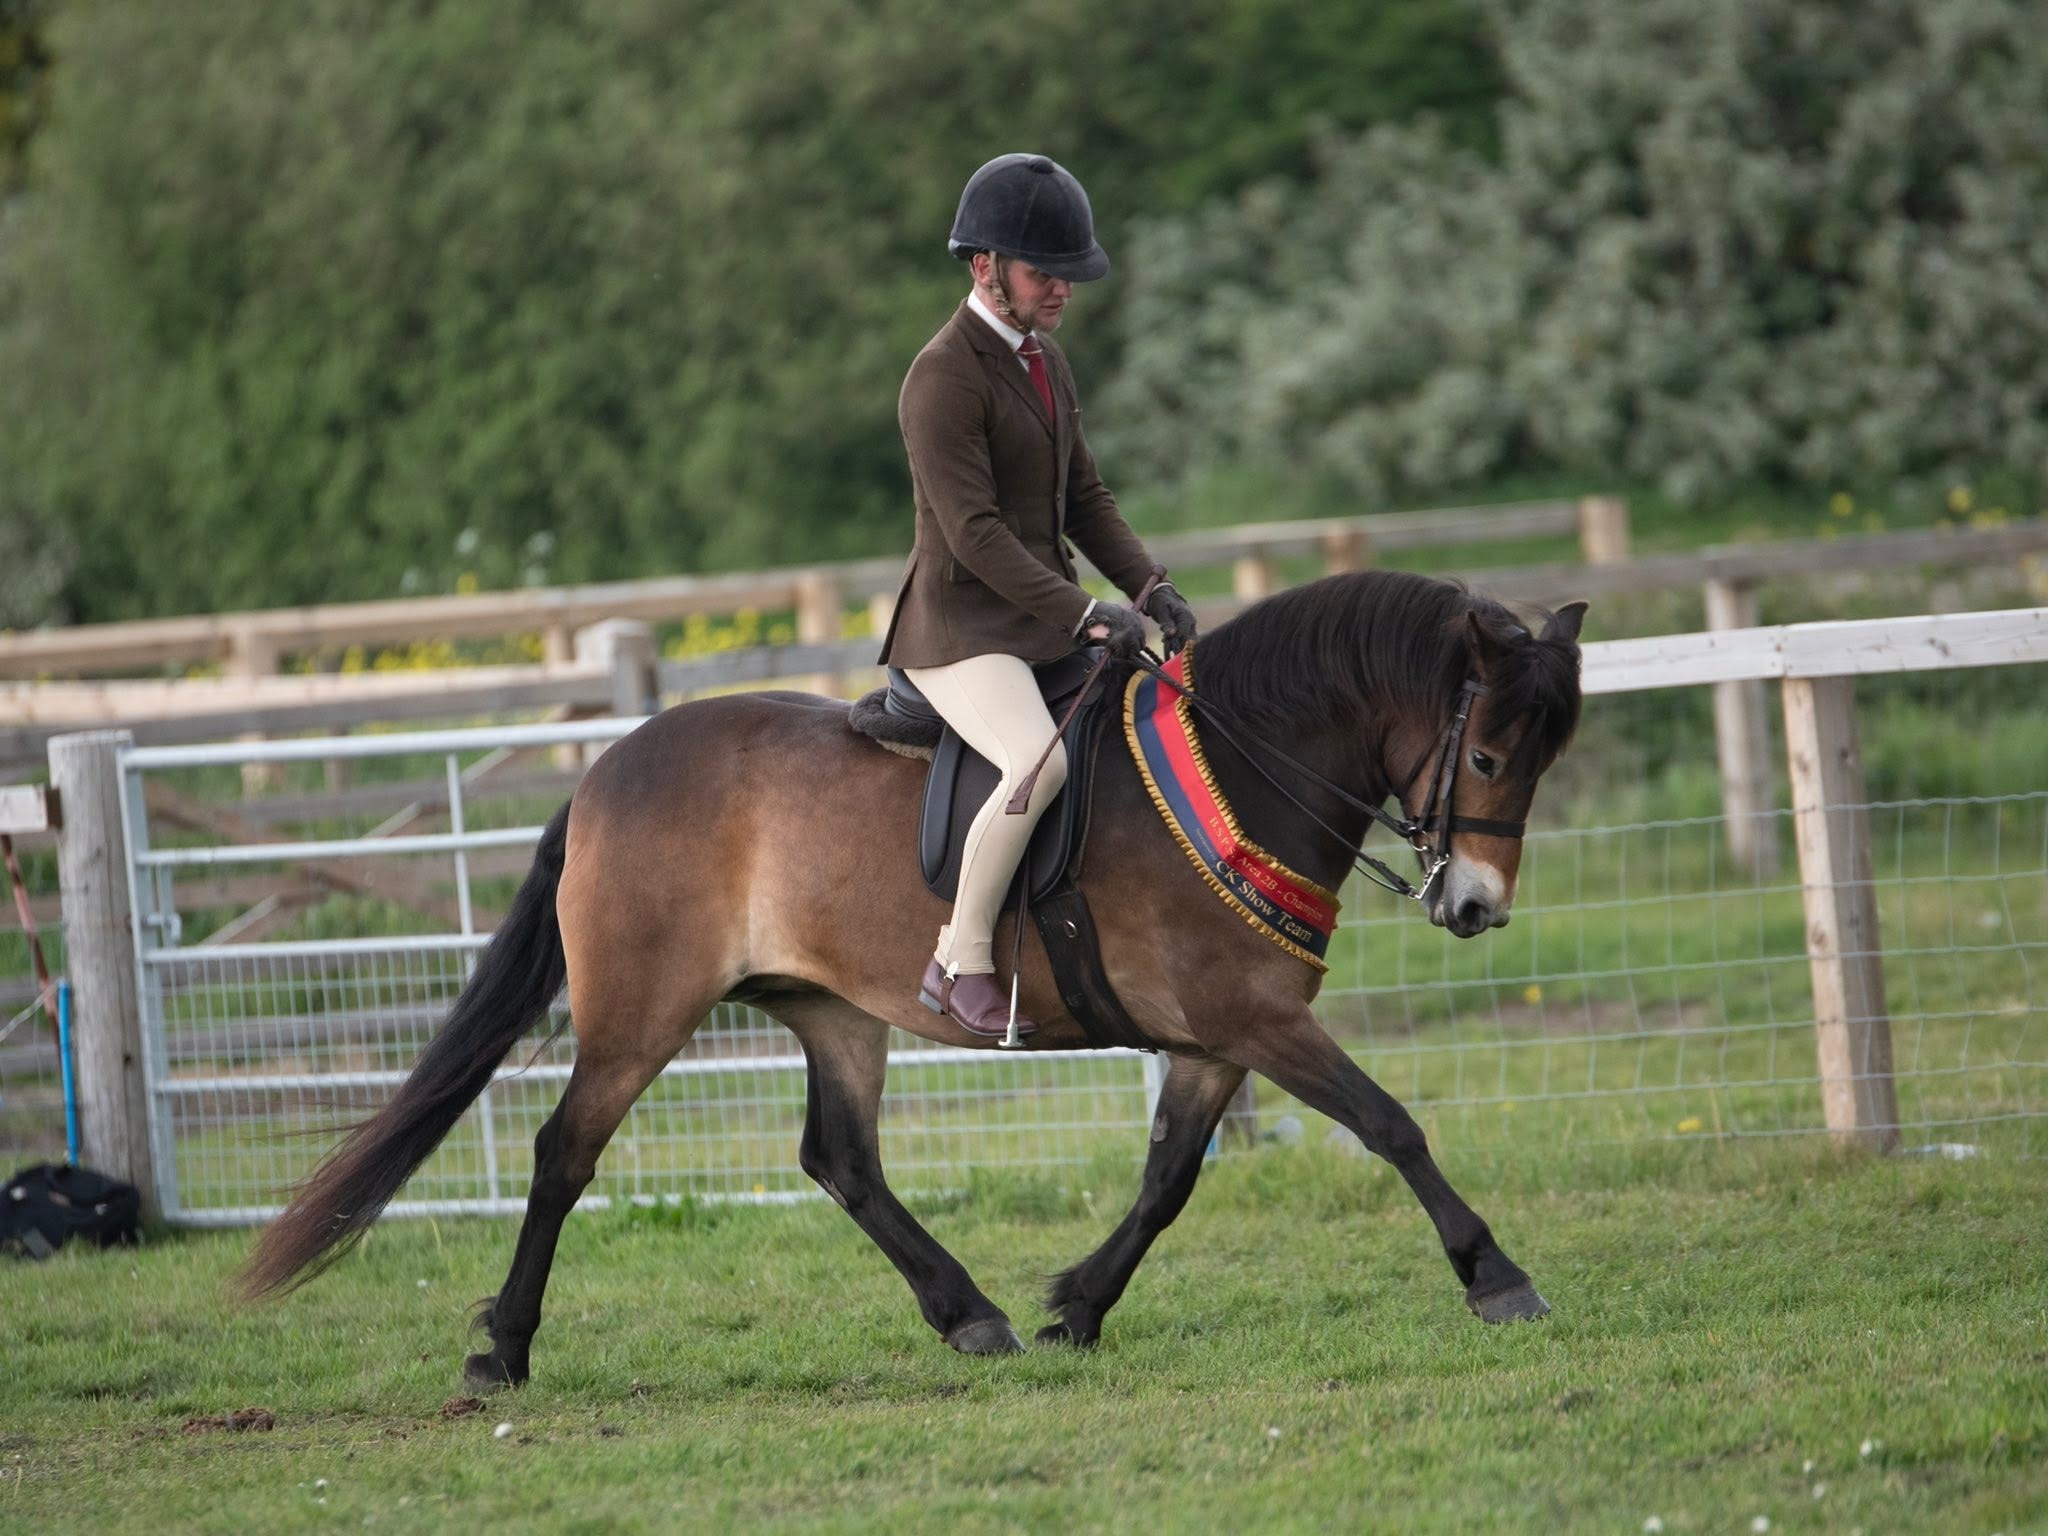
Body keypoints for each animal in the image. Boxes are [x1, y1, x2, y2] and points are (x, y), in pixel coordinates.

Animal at [239, 569, 1587, 1391]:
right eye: (1484, 755)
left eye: (1537, 762)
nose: (1475, 906)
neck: (1236, 769)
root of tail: (607, 769)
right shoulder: (1249, 1021)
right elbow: (1391, 1125)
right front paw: (1497, 1277)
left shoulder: (1215, 1041)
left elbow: (1164, 1186)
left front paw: (1073, 1308)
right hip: (639, 1013)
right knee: (564, 1153)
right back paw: (503, 1353)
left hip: (834, 1011)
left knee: (840, 1160)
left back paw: (967, 1312)